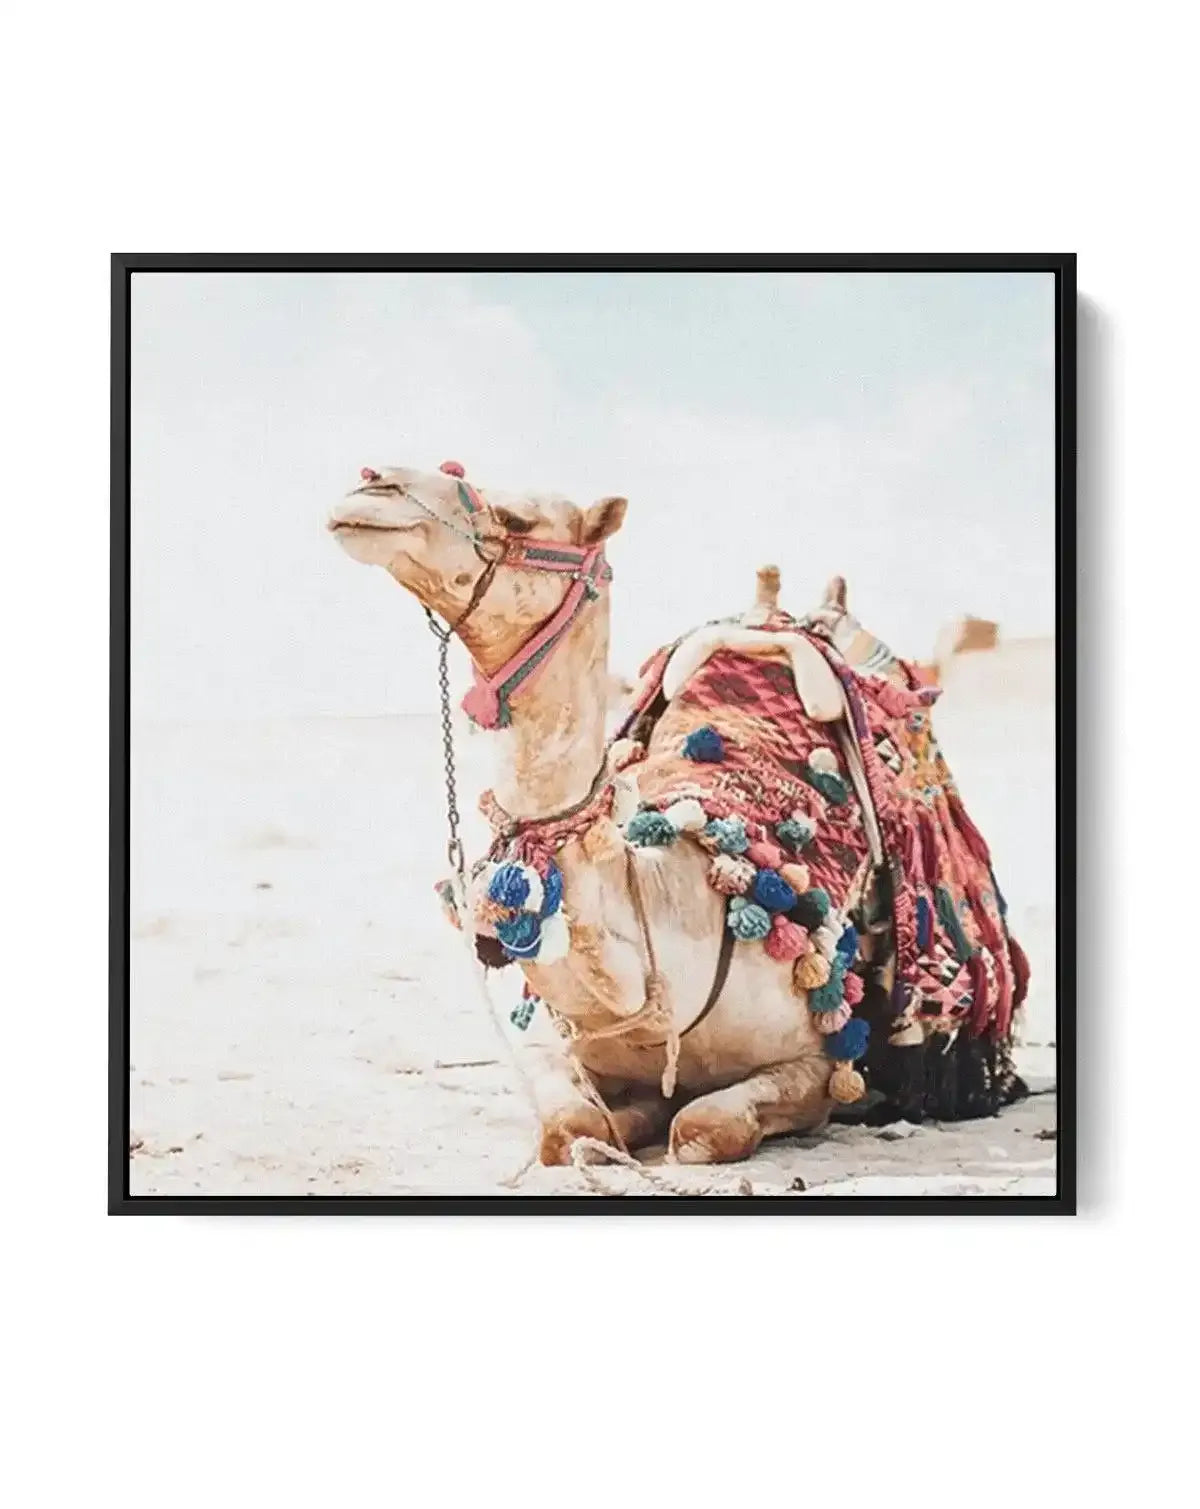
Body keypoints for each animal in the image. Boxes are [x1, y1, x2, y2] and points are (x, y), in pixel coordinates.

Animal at [329, 462, 1027, 1166]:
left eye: (516, 518)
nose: (373, 484)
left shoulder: (816, 1066)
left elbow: (701, 1127)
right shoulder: (561, 1047)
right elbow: (570, 1129)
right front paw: (622, 1121)